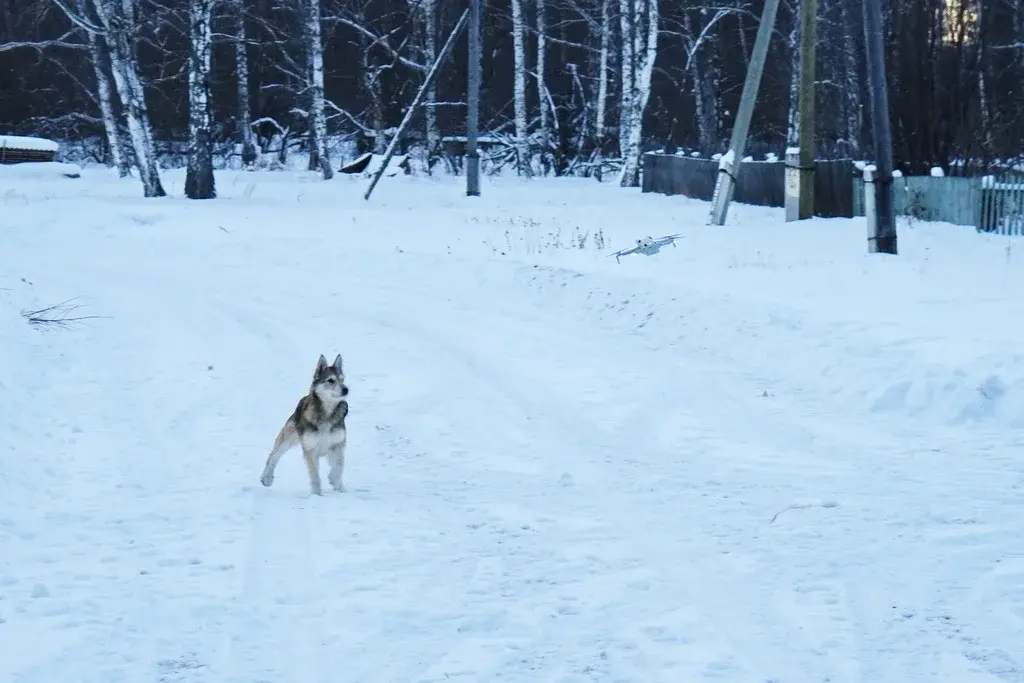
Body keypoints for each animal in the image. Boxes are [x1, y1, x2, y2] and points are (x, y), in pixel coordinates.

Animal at [260, 352, 348, 497]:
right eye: (330, 380)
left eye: (342, 379)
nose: (346, 389)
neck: (327, 414)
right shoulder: (310, 449)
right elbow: (315, 476)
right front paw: (317, 495)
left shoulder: (337, 444)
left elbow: (338, 468)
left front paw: (339, 487)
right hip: (289, 437)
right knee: (274, 455)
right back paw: (266, 477)